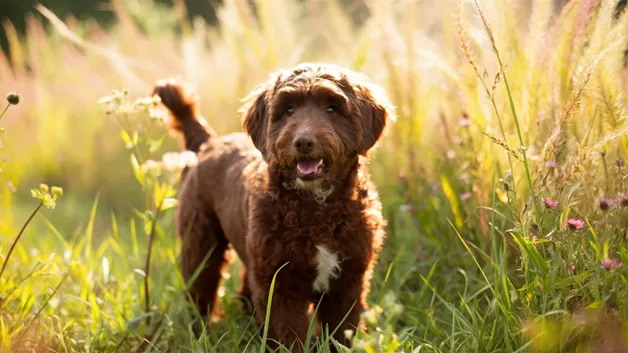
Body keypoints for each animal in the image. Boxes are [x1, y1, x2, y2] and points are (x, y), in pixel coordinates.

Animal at [153, 62, 394, 350]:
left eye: (332, 108)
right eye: (288, 109)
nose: (303, 142)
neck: (316, 211)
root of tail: (207, 142)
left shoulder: (348, 280)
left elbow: (342, 331)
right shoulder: (279, 285)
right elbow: (287, 334)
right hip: (200, 242)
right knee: (199, 289)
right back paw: (200, 334)